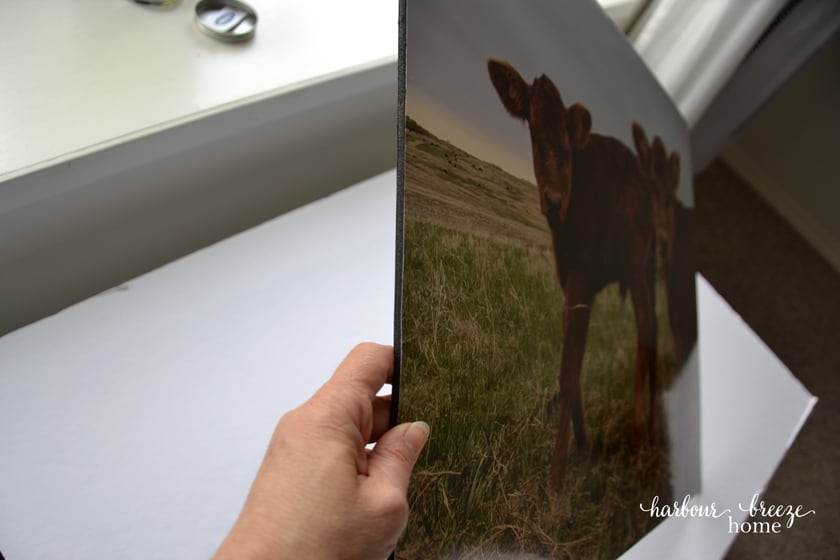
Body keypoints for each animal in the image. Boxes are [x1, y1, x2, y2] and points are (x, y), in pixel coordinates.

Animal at [488, 59, 660, 492]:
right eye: (533, 129)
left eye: (566, 142)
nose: (552, 199)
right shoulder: (568, 278)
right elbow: (572, 359)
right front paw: (581, 445)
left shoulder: (583, 277)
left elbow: (569, 368)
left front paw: (556, 478)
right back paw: (651, 423)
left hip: (637, 262)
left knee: (646, 328)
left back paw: (639, 436)